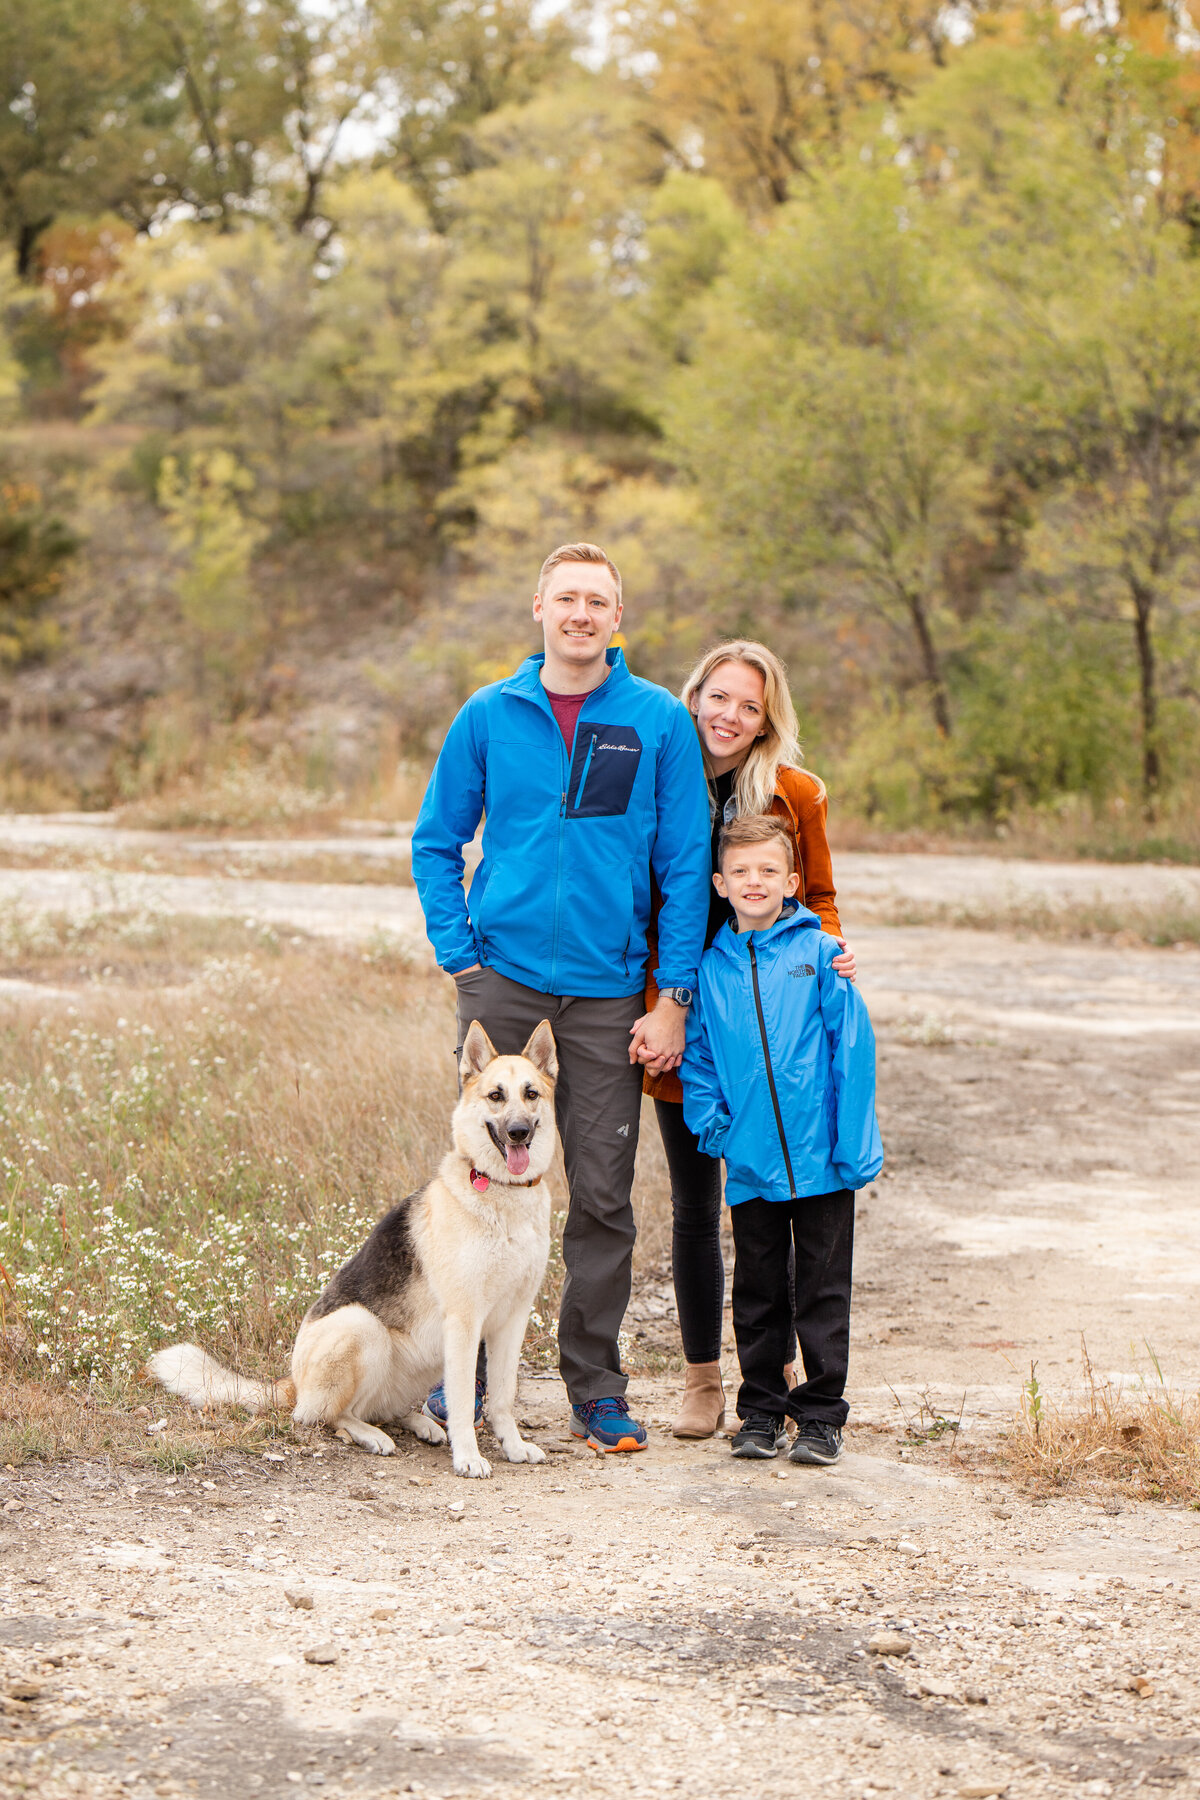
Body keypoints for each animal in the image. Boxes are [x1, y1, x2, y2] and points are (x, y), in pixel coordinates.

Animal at [149, 1022, 557, 1483]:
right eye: (495, 1096)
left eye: (530, 1094)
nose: (519, 1132)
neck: (503, 1193)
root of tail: (292, 1381)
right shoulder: (465, 1322)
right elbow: (461, 1404)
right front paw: (468, 1456)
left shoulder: (511, 1321)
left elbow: (503, 1396)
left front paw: (514, 1446)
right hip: (362, 1328)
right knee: (324, 1415)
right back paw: (369, 1434)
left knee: (378, 1408)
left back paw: (418, 1423)